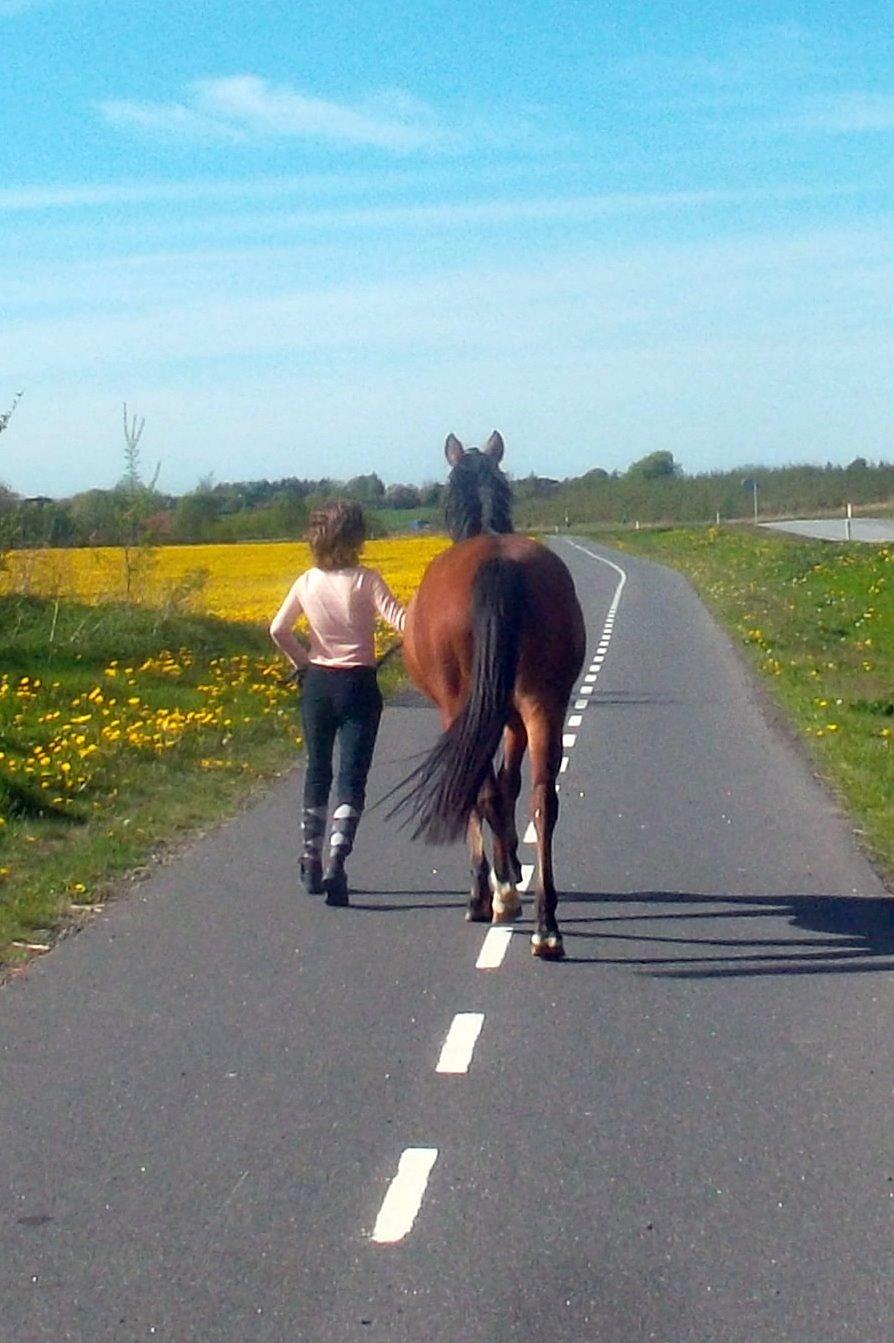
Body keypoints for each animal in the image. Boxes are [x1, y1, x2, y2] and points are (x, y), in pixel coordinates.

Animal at [394, 431, 586, 959]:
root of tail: (498, 564)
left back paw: (492, 898)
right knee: (543, 798)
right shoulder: (514, 718)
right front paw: (513, 868)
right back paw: (546, 926)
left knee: (478, 788)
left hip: (460, 706)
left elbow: (489, 792)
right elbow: (509, 786)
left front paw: (497, 882)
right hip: (543, 703)